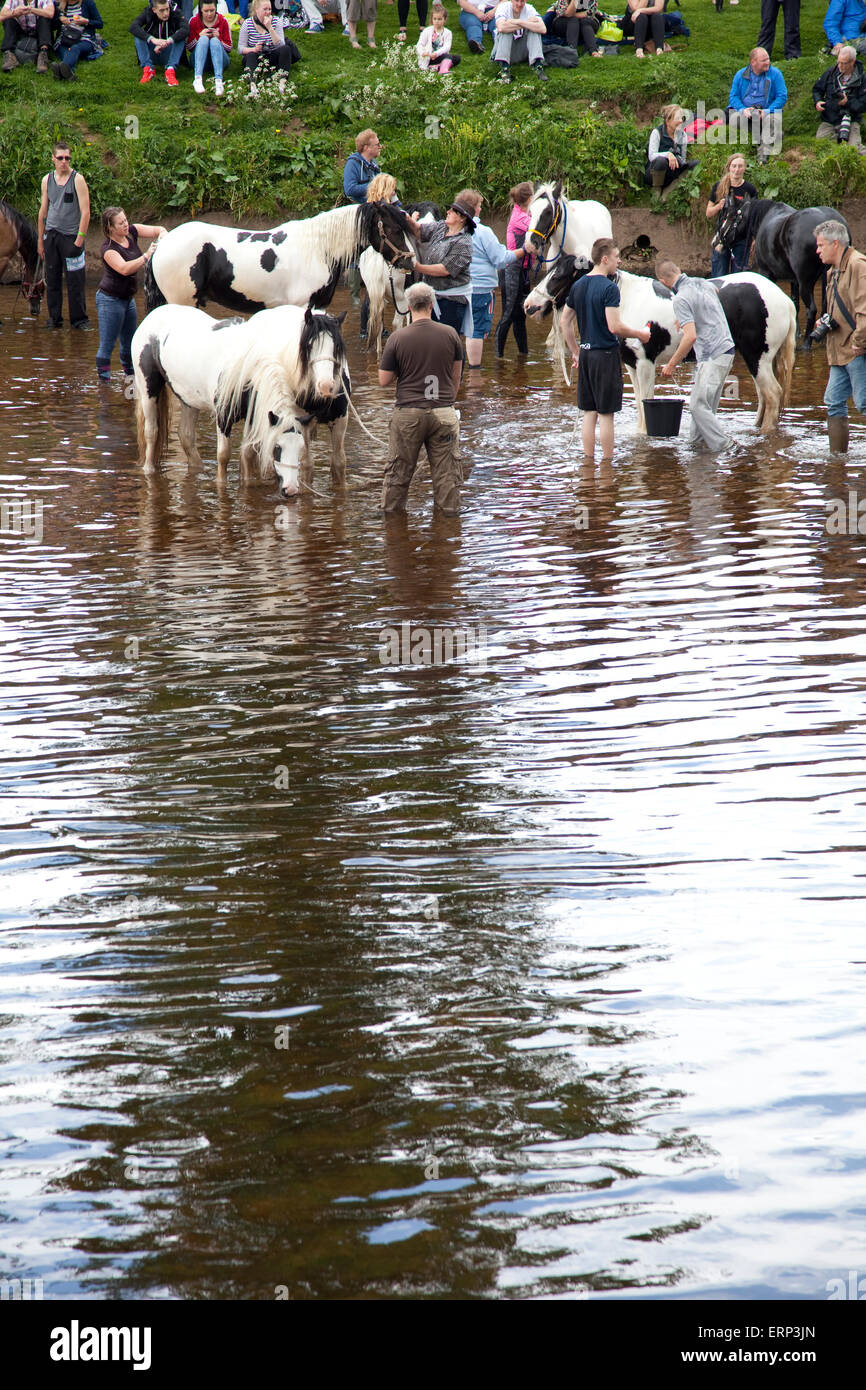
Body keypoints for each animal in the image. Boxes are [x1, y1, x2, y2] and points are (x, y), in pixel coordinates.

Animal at [132, 305, 348, 500]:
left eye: (300, 448)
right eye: (277, 448)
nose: (291, 489)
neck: (246, 367)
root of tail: (153, 314)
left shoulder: (255, 415)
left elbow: (249, 452)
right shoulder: (223, 417)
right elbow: (224, 455)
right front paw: (221, 484)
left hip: (189, 400)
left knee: (186, 436)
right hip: (148, 390)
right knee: (151, 432)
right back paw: (149, 469)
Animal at [739, 200, 850, 343]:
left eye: (731, 214)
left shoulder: (767, 273)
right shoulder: (794, 280)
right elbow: (795, 304)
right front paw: (796, 333)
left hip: (806, 283)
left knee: (811, 309)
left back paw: (806, 343)